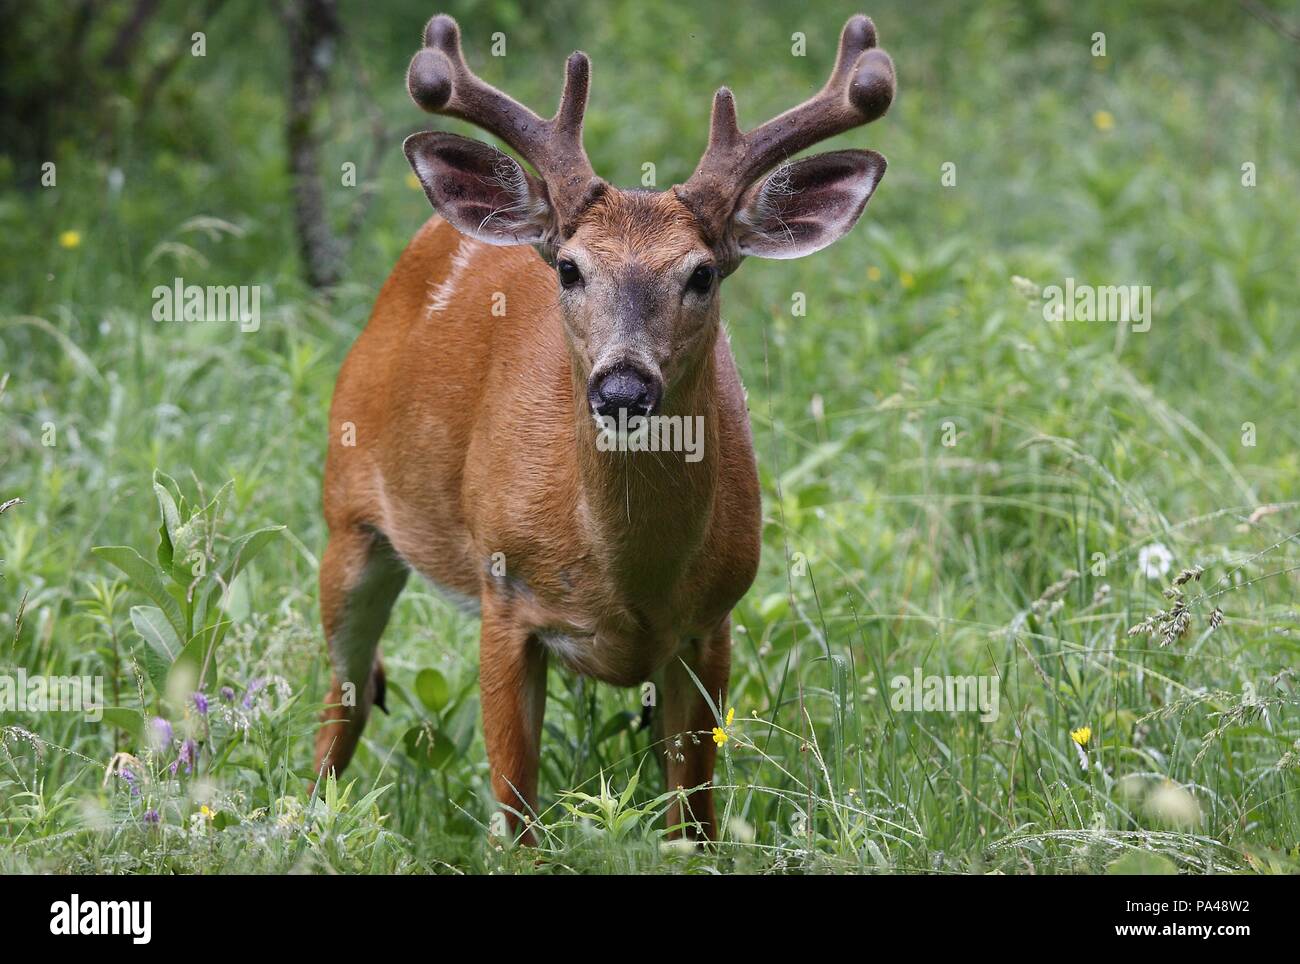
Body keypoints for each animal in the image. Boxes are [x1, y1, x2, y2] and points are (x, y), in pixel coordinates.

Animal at [314, 13, 894, 847]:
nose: (623, 387)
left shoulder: (712, 620)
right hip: (347, 513)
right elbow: (516, 812)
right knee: (346, 695)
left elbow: (695, 816)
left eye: (702, 274)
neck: (626, 575)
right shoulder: (505, 594)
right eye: (570, 269)